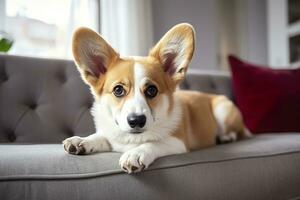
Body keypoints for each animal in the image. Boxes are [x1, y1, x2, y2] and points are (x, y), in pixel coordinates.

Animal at [62, 23, 248, 173]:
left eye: (152, 90)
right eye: (118, 90)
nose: (136, 120)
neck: (131, 139)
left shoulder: (177, 142)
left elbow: (154, 143)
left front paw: (135, 154)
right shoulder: (111, 136)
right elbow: (101, 137)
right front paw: (82, 141)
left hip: (222, 110)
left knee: (237, 132)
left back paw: (226, 137)